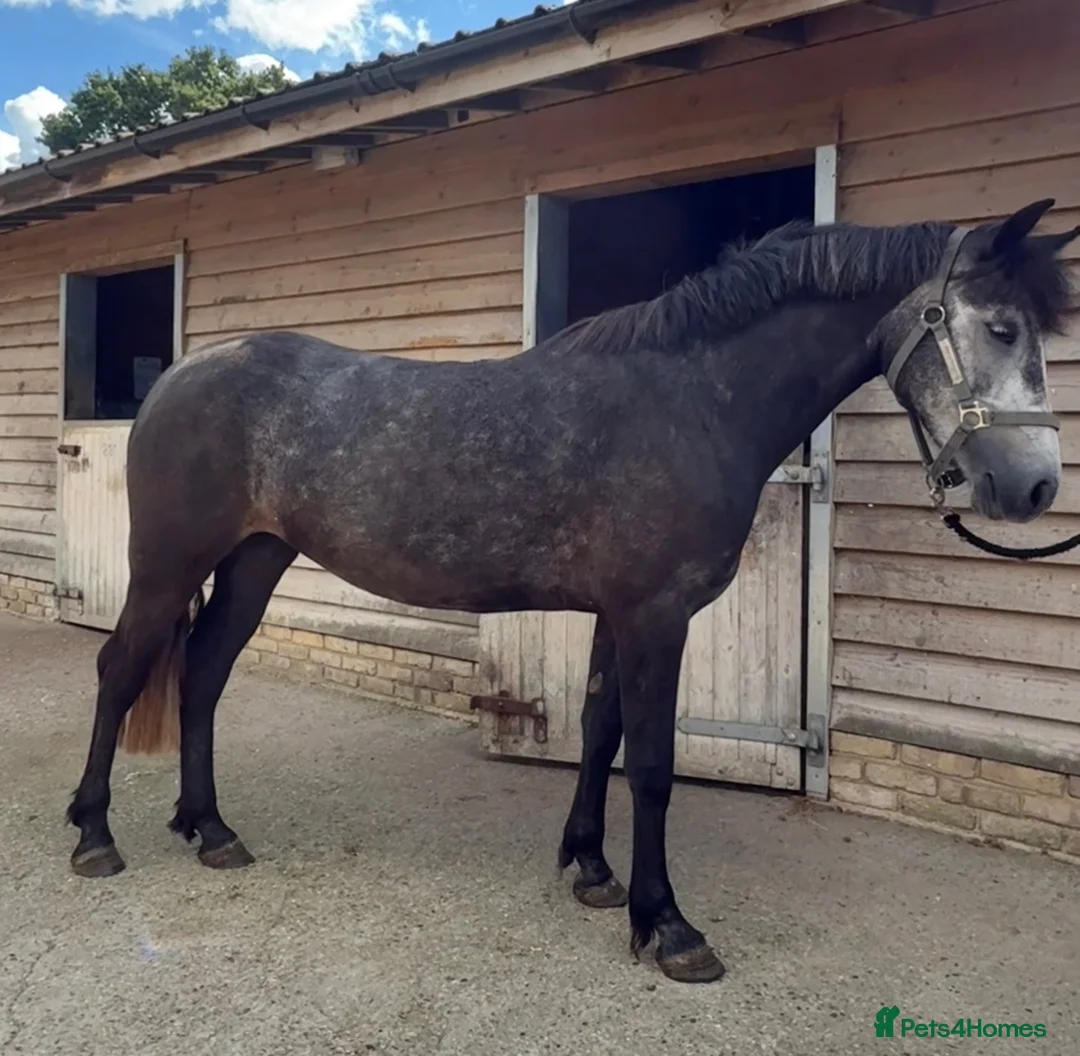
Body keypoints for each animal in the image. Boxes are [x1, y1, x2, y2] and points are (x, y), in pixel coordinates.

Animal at [65, 197, 1079, 984]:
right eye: (999, 329)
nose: (1034, 488)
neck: (691, 400)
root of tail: (183, 376)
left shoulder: (617, 614)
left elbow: (599, 730)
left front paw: (591, 870)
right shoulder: (656, 616)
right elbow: (655, 764)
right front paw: (669, 926)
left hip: (253, 562)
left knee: (202, 675)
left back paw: (210, 830)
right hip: (168, 565)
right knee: (121, 672)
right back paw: (94, 836)